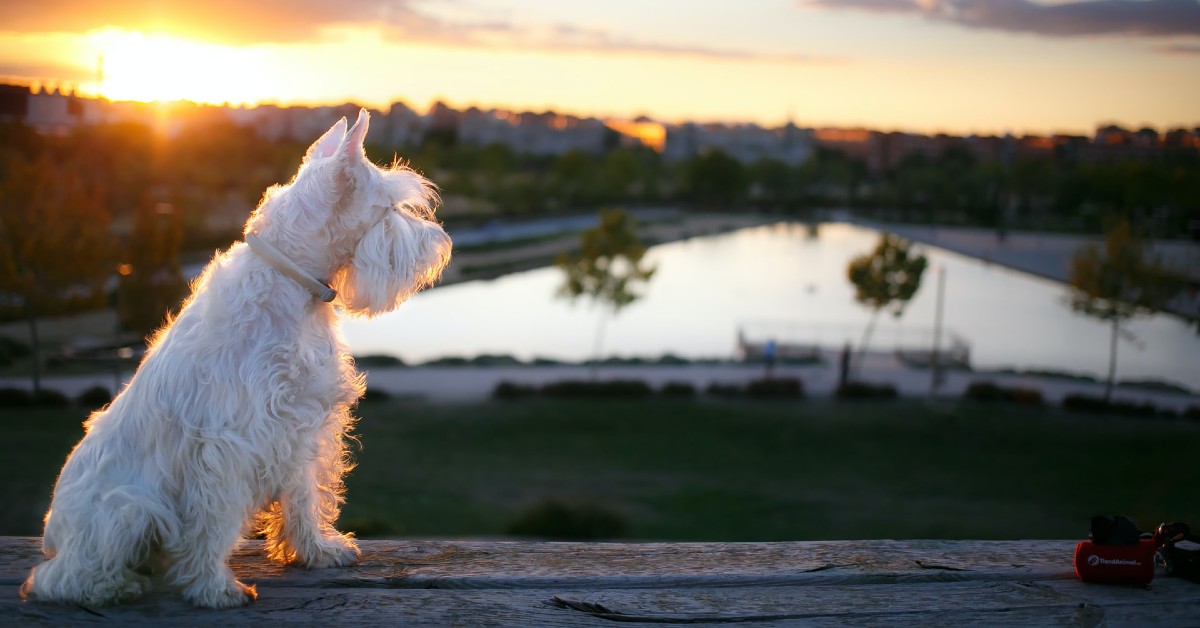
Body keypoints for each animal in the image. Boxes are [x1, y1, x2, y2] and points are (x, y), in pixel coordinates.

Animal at [21, 109, 451, 609]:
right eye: (389, 208)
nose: (440, 245)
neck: (292, 283)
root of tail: (52, 534)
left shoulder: (301, 427)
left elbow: (304, 497)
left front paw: (316, 551)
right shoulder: (229, 443)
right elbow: (212, 523)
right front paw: (213, 588)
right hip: (126, 509)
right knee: (61, 577)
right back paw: (115, 584)